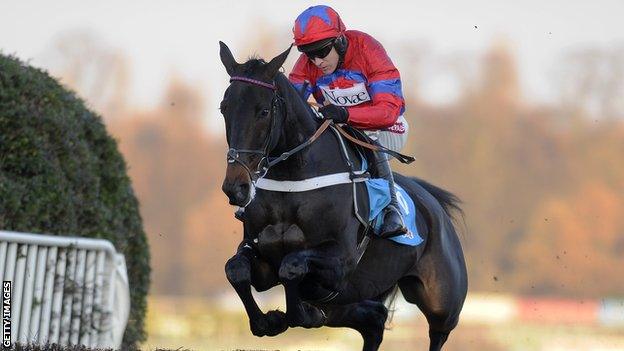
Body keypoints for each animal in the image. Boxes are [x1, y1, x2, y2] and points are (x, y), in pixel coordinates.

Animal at [217, 42, 466, 351]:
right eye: (224, 108)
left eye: (262, 111)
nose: (236, 187)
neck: (292, 183)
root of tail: (434, 204)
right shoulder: (261, 258)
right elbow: (236, 269)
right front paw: (269, 320)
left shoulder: (342, 261)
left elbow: (292, 266)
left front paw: (296, 314)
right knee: (374, 320)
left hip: (442, 302)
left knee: (436, 331)